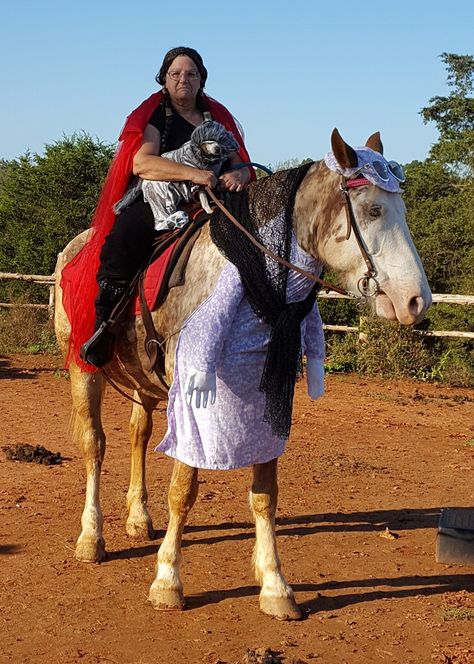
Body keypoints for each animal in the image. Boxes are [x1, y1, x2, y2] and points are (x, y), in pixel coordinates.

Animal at [53, 131, 432, 624]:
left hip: (144, 383)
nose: (416, 301)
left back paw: (138, 517)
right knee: (94, 445)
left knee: (138, 433)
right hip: (84, 369)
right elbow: (183, 489)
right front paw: (167, 581)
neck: (243, 273)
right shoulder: (190, 391)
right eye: (372, 210)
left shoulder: (266, 391)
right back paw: (91, 537)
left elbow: (265, 493)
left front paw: (274, 584)